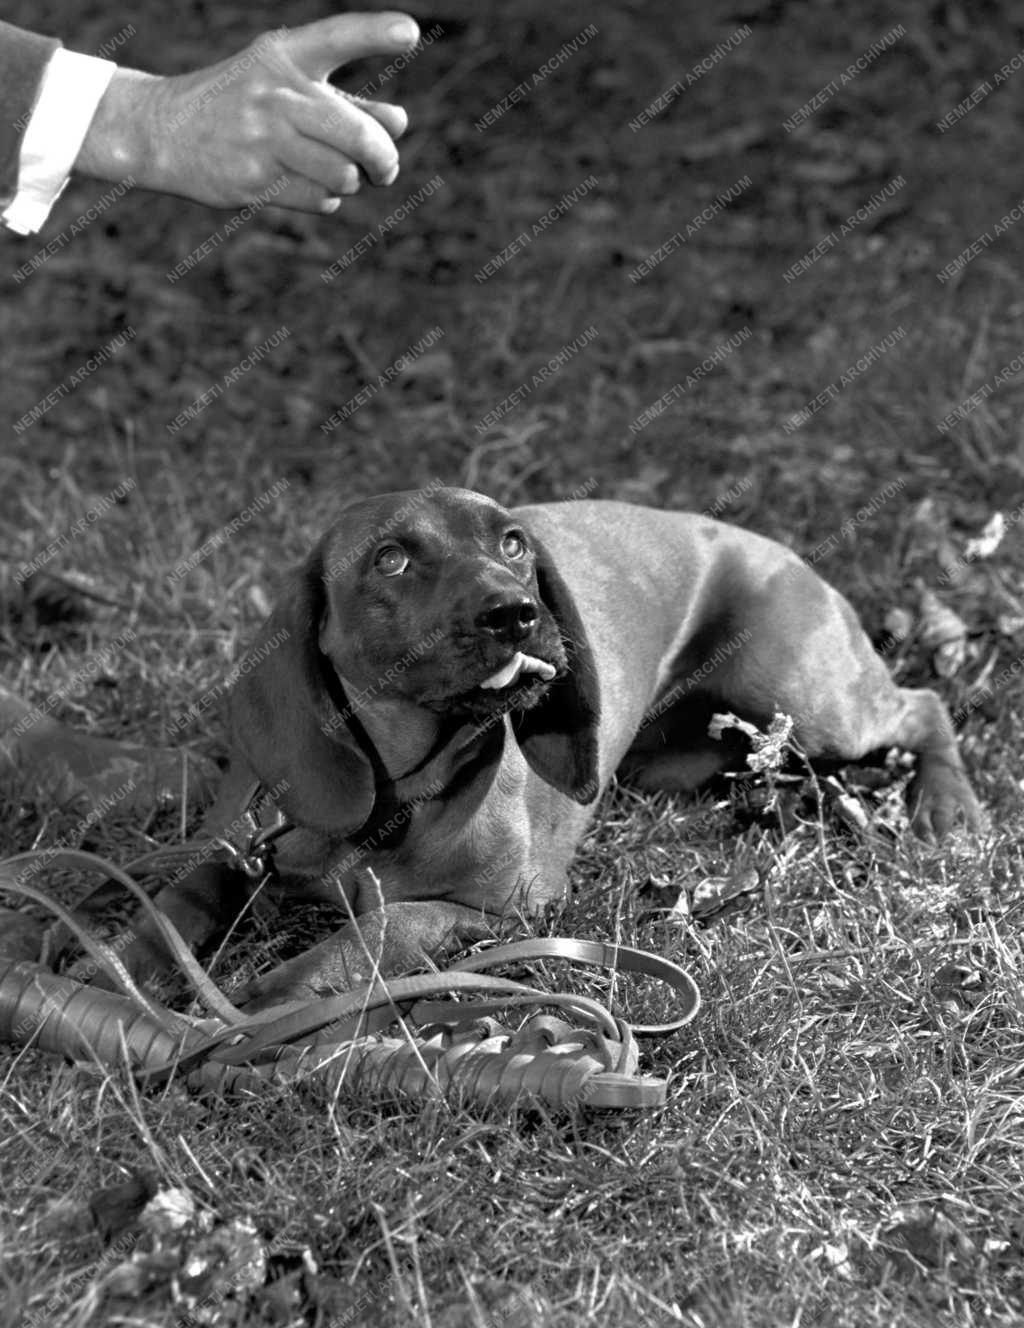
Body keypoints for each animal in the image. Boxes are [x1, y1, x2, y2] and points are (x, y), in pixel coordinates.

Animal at [116, 488, 982, 1003]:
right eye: (390, 558)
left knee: (925, 706)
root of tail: (777, 545)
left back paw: (950, 807)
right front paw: (109, 973)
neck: (395, 798)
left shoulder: (497, 910)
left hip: (809, 696)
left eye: (512, 543)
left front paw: (263, 997)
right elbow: (165, 909)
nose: (516, 613)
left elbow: (375, 931)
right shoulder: (234, 852)